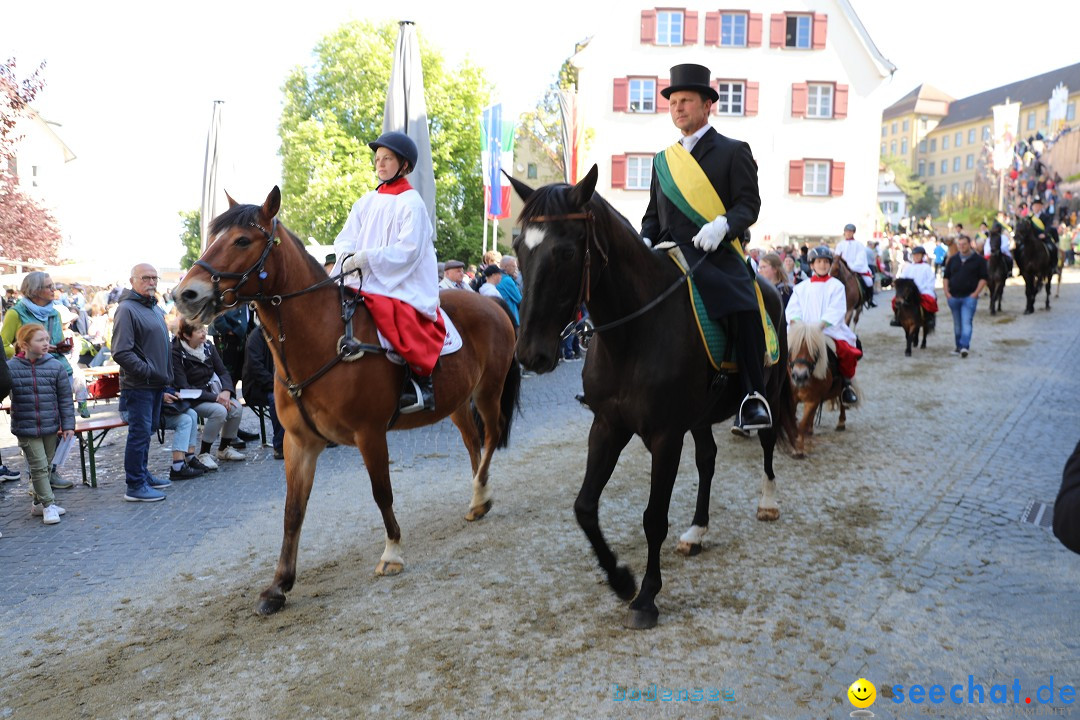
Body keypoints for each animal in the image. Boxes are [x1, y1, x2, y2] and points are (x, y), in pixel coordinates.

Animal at [172, 185, 518, 613]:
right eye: (213, 237)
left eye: (241, 240)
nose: (185, 294)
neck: (322, 339)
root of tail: (491, 302)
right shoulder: (299, 443)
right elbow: (292, 511)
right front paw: (278, 585)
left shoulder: (370, 434)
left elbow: (381, 492)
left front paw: (392, 552)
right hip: (456, 402)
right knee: (474, 442)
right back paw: (478, 497)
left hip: (488, 389)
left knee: (491, 435)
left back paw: (480, 491)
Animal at [503, 167, 794, 630]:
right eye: (518, 248)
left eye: (566, 251)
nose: (531, 354)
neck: (632, 334)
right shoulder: (608, 426)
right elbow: (585, 507)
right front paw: (620, 578)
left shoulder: (664, 436)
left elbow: (653, 517)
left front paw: (646, 597)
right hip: (700, 415)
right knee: (707, 459)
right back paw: (697, 531)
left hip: (767, 387)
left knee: (766, 440)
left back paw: (767, 502)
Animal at [786, 321, 851, 455]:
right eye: (792, 348)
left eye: (815, 350)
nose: (800, 376)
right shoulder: (792, 399)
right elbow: (793, 420)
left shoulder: (813, 400)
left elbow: (802, 423)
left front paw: (799, 448)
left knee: (841, 399)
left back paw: (841, 422)